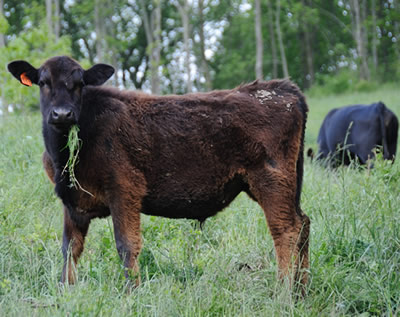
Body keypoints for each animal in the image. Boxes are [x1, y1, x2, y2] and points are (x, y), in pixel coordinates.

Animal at [7, 55, 310, 288]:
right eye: (43, 82)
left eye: (80, 83)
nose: (62, 114)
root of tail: (282, 89)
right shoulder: (73, 203)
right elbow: (70, 248)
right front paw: (65, 290)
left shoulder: (124, 191)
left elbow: (126, 245)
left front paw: (131, 292)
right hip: (286, 186)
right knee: (303, 224)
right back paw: (301, 290)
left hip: (271, 181)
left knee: (286, 230)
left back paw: (284, 293)